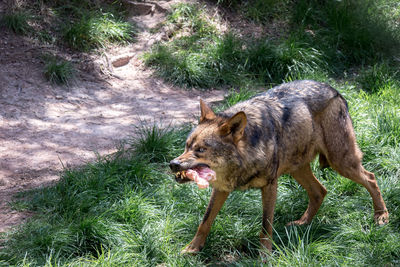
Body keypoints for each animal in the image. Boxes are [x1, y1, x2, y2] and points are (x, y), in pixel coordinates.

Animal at [168, 80, 388, 255]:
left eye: (201, 150)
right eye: (187, 146)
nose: (173, 164)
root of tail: (334, 90)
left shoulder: (270, 186)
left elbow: (266, 226)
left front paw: (265, 256)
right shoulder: (221, 188)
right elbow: (205, 221)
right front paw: (192, 249)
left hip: (341, 162)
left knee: (371, 178)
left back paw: (381, 216)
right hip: (297, 169)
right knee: (320, 191)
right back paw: (302, 224)